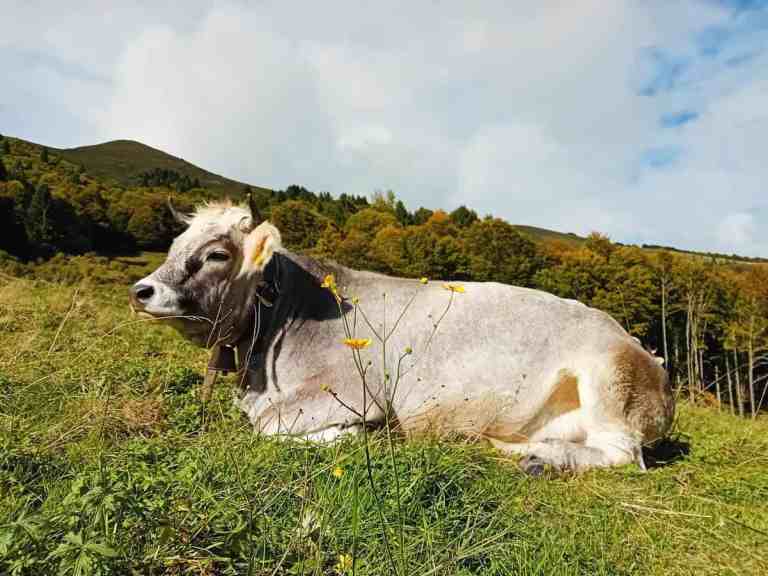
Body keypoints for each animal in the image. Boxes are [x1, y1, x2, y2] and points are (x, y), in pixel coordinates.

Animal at [129, 200, 674, 474]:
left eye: (217, 254)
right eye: (175, 244)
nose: (141, 290)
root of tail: (649, 355)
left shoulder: (352, 392)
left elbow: (267, 426)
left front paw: (352, 437)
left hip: (610, 379)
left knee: (624, 455)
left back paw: (543, 460)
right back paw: (514, 449)